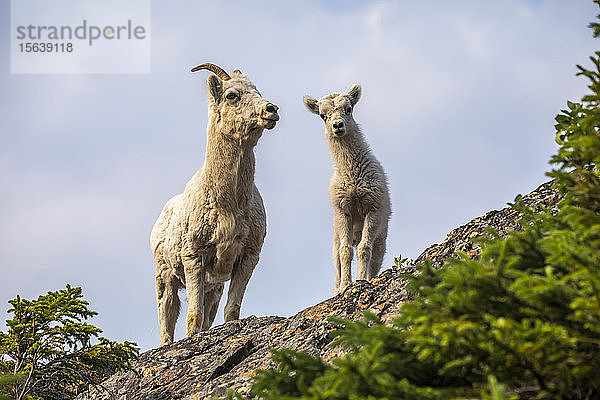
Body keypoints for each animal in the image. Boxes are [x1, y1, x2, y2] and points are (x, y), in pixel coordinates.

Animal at [151, 64, 280, 346]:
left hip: (213, 288)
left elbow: (231, 310)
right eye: (232, 95)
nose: (271, 110)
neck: (229, 206)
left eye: (257, 91)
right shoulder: (193, 257)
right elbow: (193, 316)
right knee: (167, 315)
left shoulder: (247, 257)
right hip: (165, 277)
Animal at [302, 84, 392, 296]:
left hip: (381, 239)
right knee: (337, 261)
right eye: (322, 115)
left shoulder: (373, 208)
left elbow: (363, 249)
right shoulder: (343, 211)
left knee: (373, 259)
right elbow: (345, 252)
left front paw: (360, 280)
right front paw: (345, 287)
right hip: (336, 237)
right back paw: (336, 290)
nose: (338, 126)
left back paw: (369, 278)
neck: (352, 175)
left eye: (349, 108)